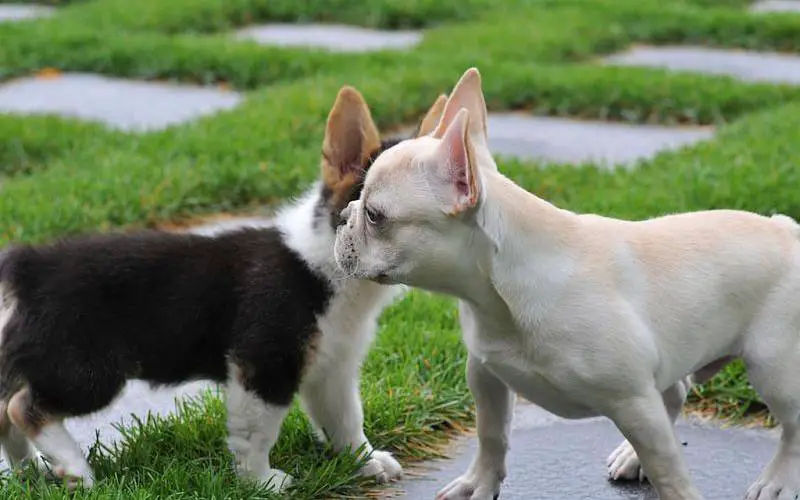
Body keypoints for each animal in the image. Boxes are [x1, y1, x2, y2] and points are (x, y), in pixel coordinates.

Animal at [0, 88, 446, 490]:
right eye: (377, 213)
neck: (328, 267)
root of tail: (30, 266)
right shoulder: (264, 365)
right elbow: (257, 434)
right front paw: (262, 482)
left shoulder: (333, 370)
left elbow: (346, 420)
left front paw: (365, 461)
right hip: (89, 370)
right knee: (24, 407)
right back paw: (75, 470)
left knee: (6, 410)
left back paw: (32, 471)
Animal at [334, 67, 800, 500]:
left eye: (375, 215)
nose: (343, 218)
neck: (501, 294)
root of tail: (786, 228)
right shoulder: (486, 374)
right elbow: (491, 436)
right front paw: (479, 483)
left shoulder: (633, 401)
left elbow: (669, 470)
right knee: (676, 392)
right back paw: (632, 457)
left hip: (773, 367)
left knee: (792, 427)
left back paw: (776, 480)